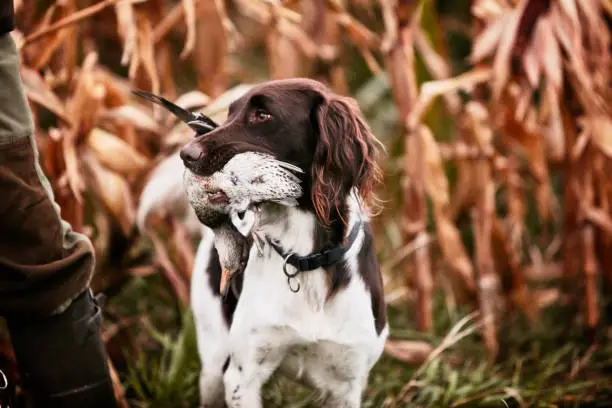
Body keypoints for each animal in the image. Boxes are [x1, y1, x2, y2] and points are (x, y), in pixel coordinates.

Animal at [139, 78, 388, 406]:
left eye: (262, 115)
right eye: (230, 113)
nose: (187, 154)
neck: (306, 260)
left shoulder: (347, 383)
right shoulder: (241, 375)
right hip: (213, 363)